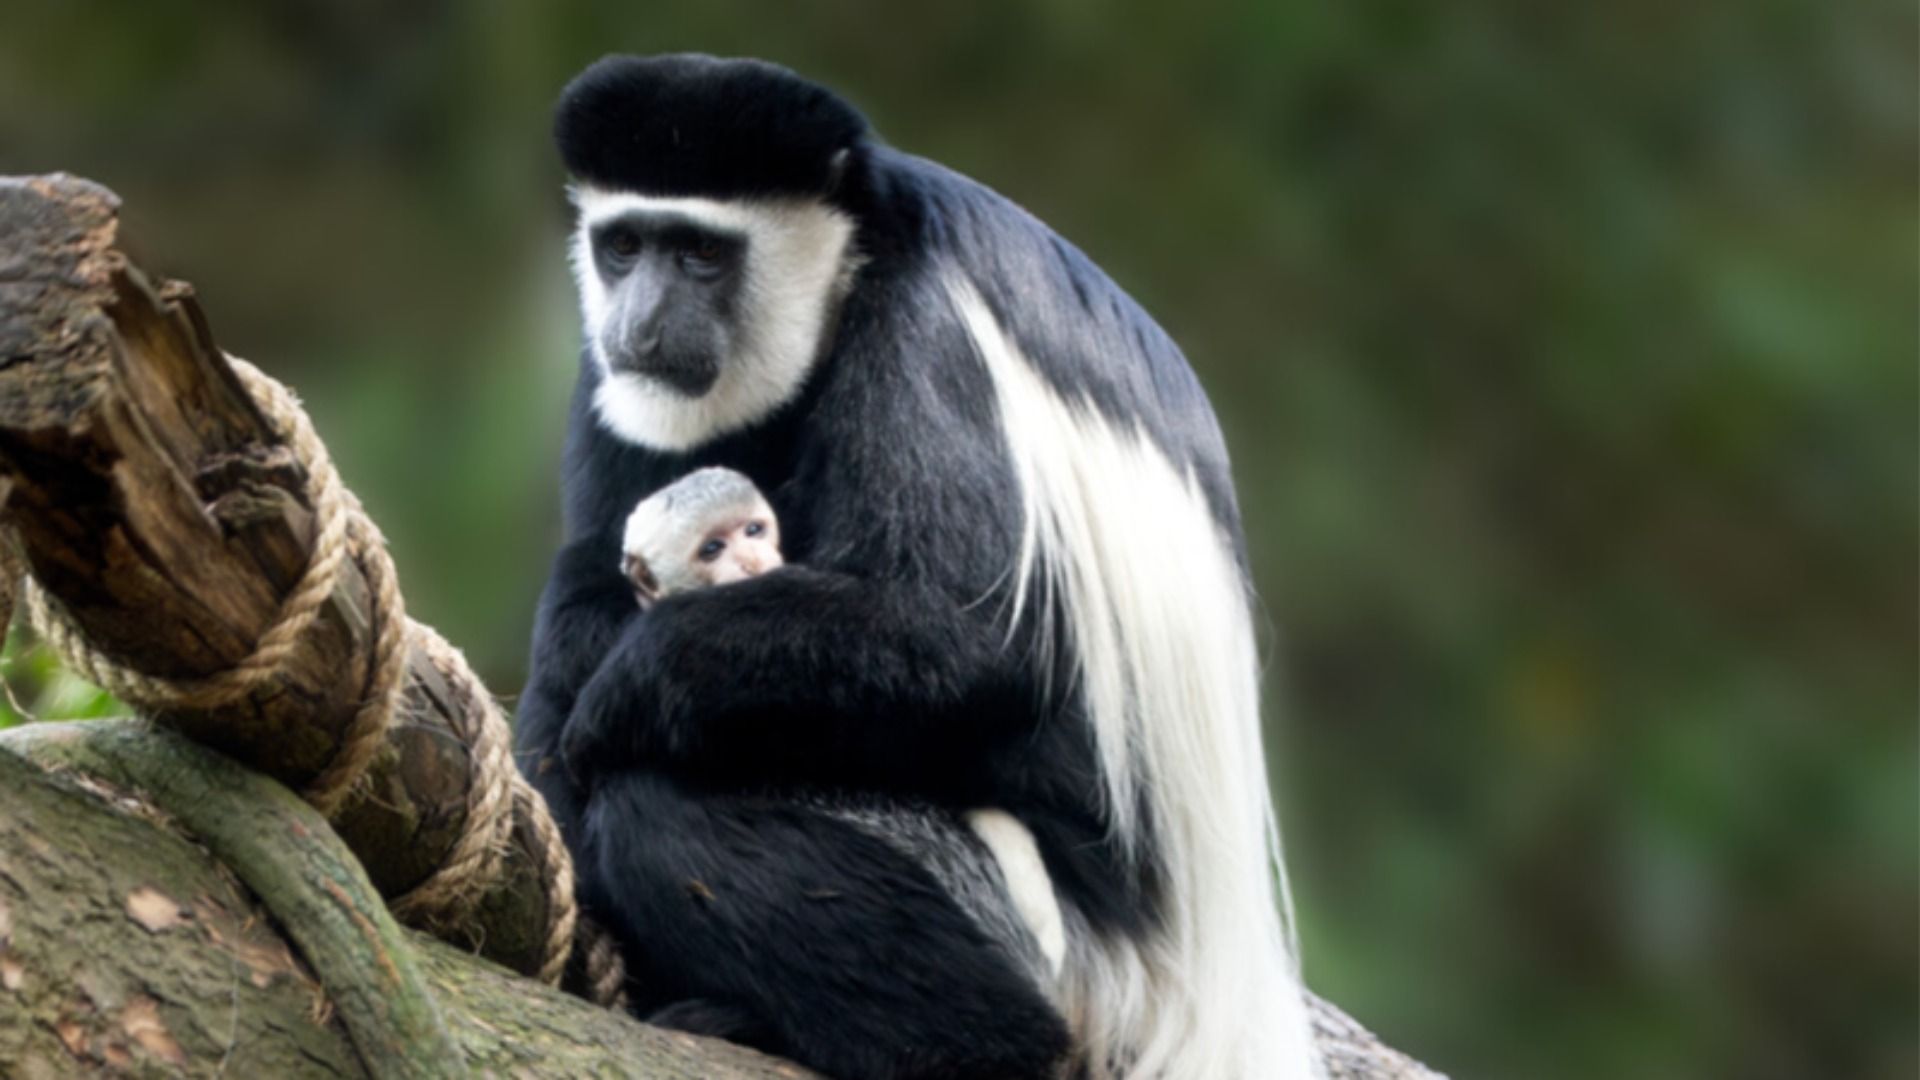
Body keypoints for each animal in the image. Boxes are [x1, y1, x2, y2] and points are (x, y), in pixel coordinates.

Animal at [512, 53, 1321, 1080]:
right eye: (623, 247)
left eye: (700, 255)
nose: (643, 323)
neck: (855, 264)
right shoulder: (612, 376)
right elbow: (596, 568)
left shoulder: (929, 339)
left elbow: (971, 640)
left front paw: (627, 681)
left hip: (1046, 929)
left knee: (662, 808)